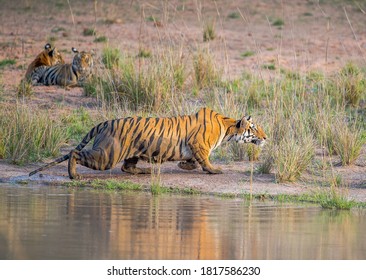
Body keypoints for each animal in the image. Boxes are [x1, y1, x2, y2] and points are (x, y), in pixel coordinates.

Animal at [28, 107, 268, 179]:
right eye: (254, 128)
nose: (266, 137)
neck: (228, 128)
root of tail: (105, 122)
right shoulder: (199, 144)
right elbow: (205, 160)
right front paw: (214, 170)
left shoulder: (193, 147)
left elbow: (193, 160)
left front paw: (184, 165)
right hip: (107, 155)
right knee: (75, 154)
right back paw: (73, 175)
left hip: (131, 152)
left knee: (126, 167)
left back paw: (144, 171)